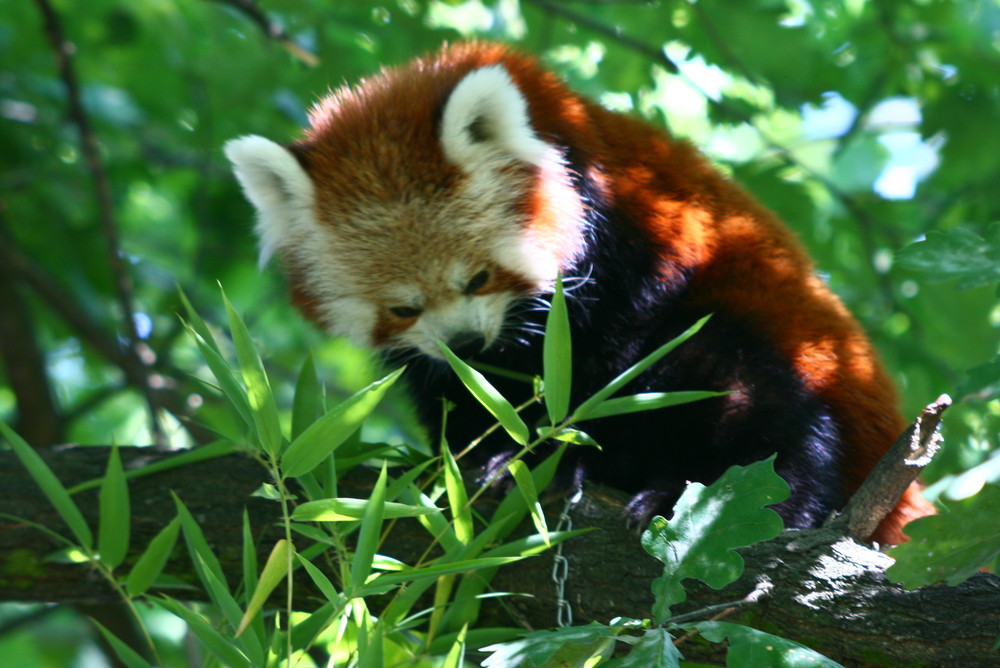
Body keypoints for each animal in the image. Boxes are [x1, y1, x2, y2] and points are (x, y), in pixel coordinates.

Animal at [225, 40, 928, 544]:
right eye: (402, 307)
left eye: (477, 278)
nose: (466, 341)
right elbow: (458, 394)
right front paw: (488, 452)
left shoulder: (632, 248)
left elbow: (603, 373)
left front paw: (555, 456)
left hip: (787, 347)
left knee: (764, 410)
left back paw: (723, 500)